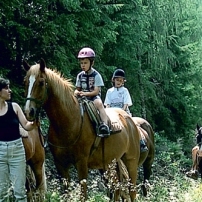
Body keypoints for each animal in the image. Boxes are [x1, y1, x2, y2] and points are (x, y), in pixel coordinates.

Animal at [22, 58, 154, 200]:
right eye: (25, 82)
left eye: (41, 83)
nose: (28, 112)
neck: (69, 122)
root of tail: (130, 121)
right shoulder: (61, 165)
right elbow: (67, 194)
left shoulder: (82, 163)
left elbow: (83, 195)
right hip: (110, 164)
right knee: (116, 188)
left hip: (131, 161)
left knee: (132, 190)